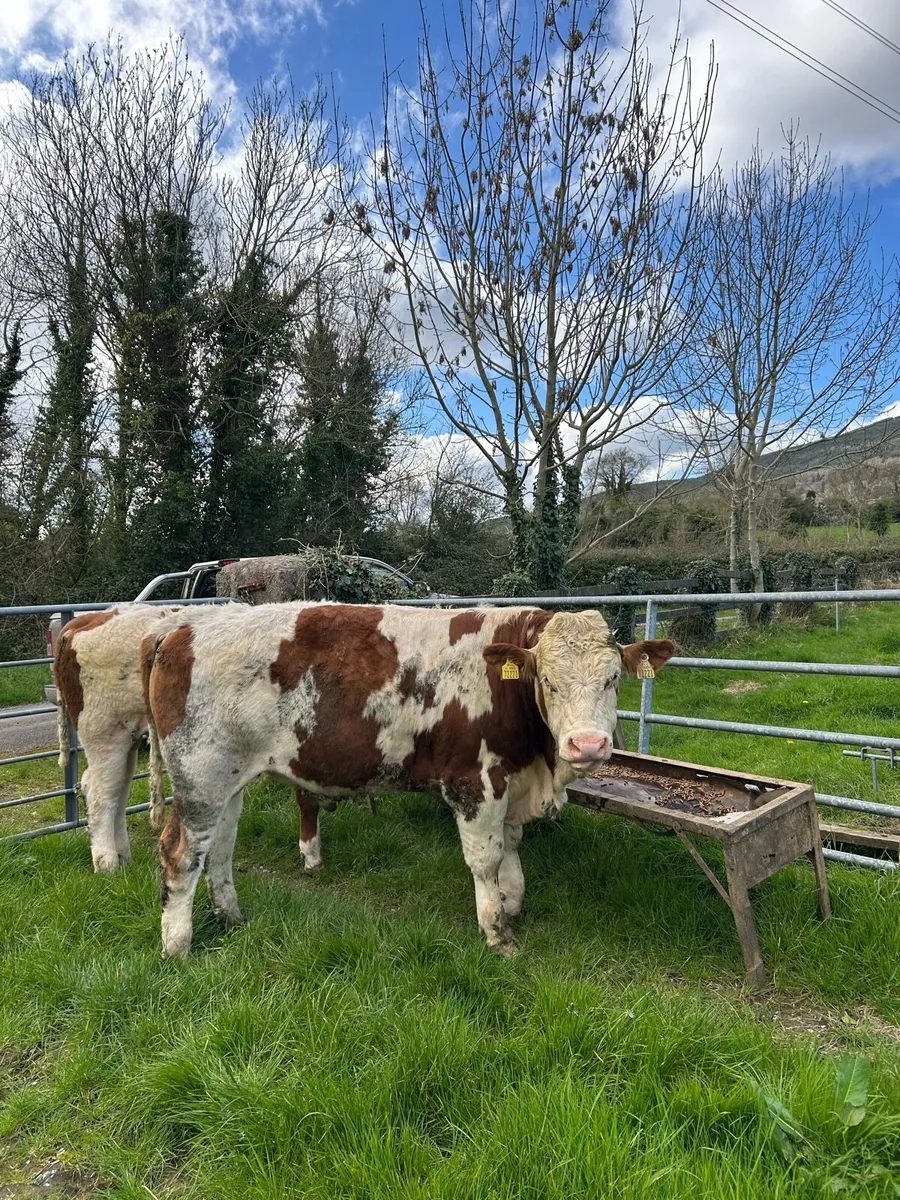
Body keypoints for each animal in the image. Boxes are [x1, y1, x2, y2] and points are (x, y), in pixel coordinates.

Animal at [54, 603, 332, 874]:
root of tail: (86, 620)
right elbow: (307, 797)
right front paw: (311, 856)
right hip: (105, 735)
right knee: (101, 793)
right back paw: (107, 863)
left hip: (127, 738)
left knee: (117, 791)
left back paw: (123, 856)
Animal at [144, 602, 674, 957]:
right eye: (548, 681)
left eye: (613, 679)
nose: (588, 745)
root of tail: (179, 629)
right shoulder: (473, 782)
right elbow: (486, 861)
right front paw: (497, 934)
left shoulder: (510, 782)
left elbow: (512, 856)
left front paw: (511, 904)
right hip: (199, 776)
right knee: (180, 855)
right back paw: (178, 948)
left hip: (230, 779)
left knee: (220, 850)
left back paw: (232, 918)